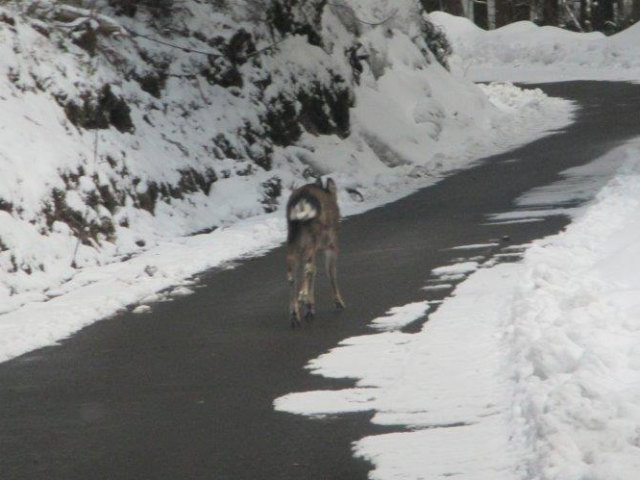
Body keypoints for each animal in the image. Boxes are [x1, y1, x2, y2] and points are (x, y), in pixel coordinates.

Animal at [284, 178, 344, 328]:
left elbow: (315, 271)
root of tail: (302, 202)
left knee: (292, 274)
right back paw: (303, 296)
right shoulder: (331, 245)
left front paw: (310, 308)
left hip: (293, 240)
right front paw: (339, 302)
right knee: (308, 268)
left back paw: (295, 315)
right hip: (313, 238)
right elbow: (331, 272)